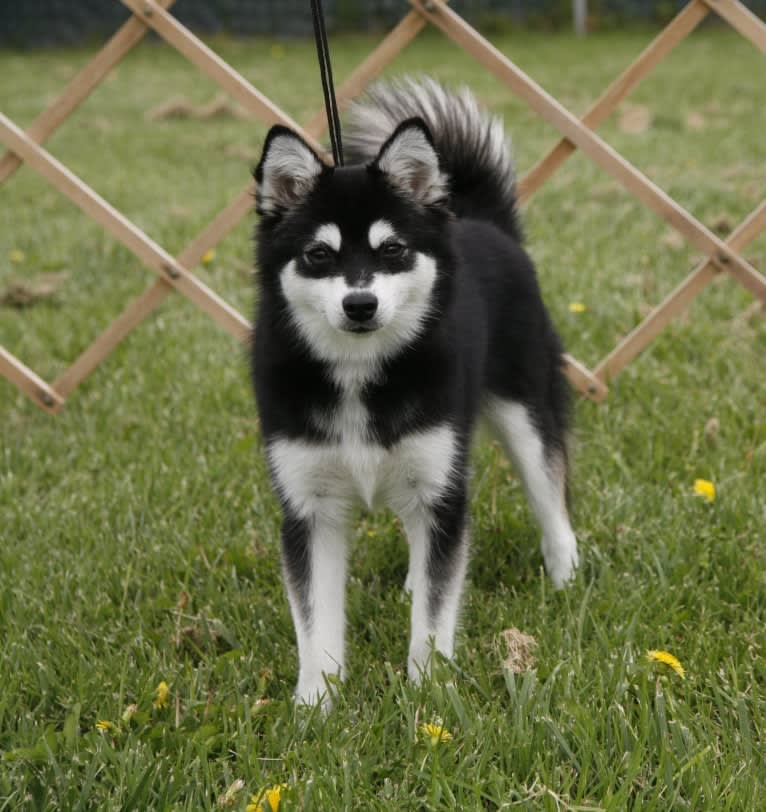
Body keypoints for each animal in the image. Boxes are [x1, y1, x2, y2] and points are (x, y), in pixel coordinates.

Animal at [255, 79, 580, 708]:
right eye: (318, 255)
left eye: (393, 250)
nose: (360, 305)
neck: (359, 374)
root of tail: (481, 221)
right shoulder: (309, 509)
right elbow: (316, 623)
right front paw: (316, 706)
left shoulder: (442, 489)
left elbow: (435, 614)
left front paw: (427, 693)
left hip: (522, 408)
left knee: (549, 490)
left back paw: (566, 574)